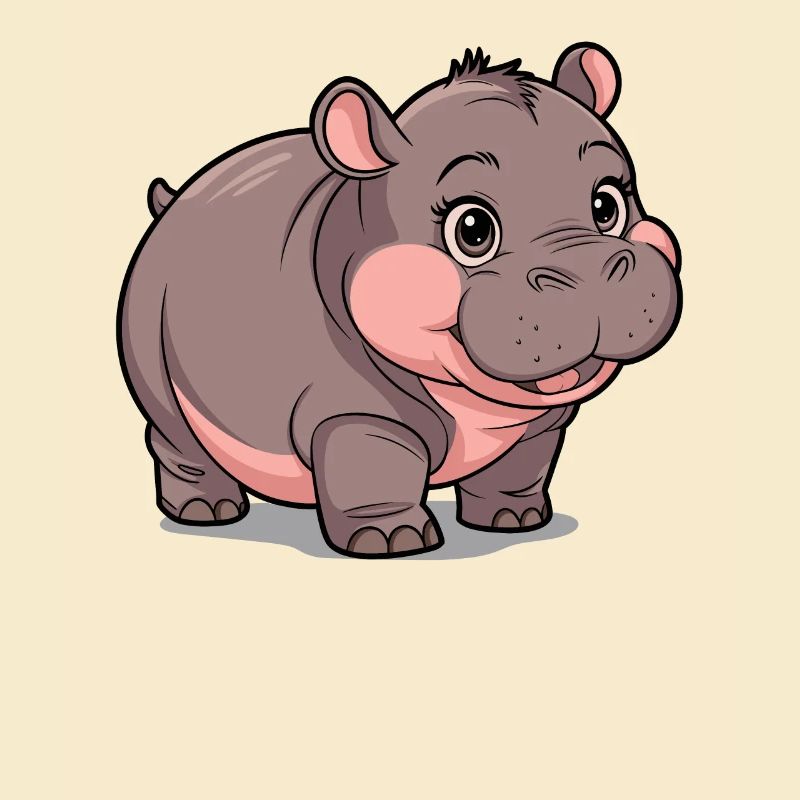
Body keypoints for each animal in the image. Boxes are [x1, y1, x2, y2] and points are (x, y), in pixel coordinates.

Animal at [117, 43, 682, 558]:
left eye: (607, 204)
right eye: (472, 228)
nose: (593, 273)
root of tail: (174, 201)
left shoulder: (540, 422)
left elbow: (520, 466)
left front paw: (514, 521)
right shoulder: (356, 412)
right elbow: (377, 470)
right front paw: (393, 542)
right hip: (149, 343)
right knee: (173, 434)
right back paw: (206, 513)